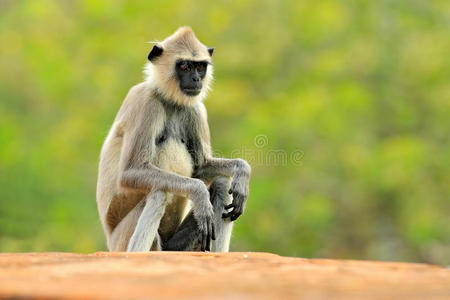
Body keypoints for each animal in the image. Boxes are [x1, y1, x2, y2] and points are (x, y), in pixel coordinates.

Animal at [96, 27, 250, 253]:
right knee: (158, 192)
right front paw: (199, 193)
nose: (196, 80)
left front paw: (242, 170)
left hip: (177, 247)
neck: (169, 101)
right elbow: (131, 172)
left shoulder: (195, 109)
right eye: (184, 66)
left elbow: (201, 168)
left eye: (200, 67)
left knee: (222, 182)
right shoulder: (146, 102)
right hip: (122, 241)